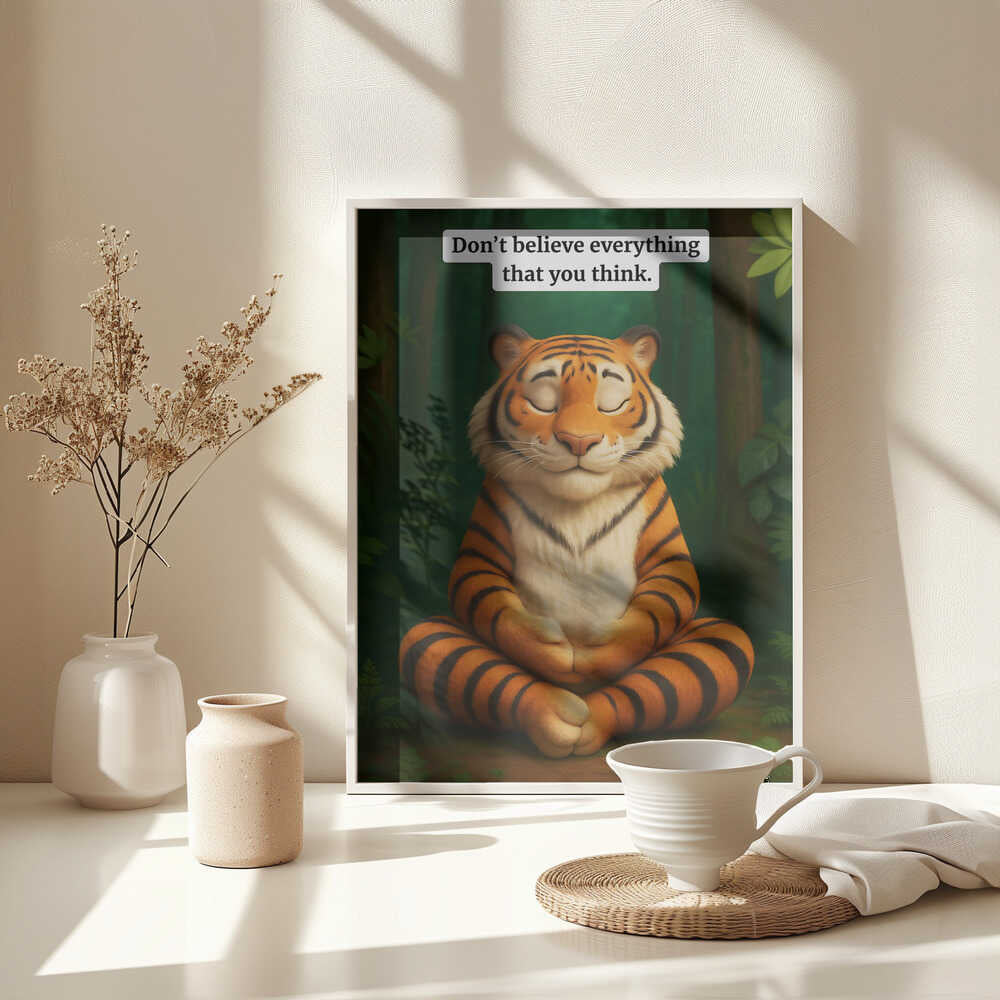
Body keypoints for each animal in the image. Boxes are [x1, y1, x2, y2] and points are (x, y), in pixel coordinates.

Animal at [398, 325, 754, 758]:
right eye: (543, 401)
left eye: (610, 402)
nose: (579, 441)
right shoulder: (482, 544)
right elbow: (485, 597)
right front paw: (550, 647)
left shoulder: (667, 557)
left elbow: (666, 599)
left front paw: (600, 647)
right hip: (428, 639)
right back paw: (558, 711)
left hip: (721, 641)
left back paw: (587, 717)